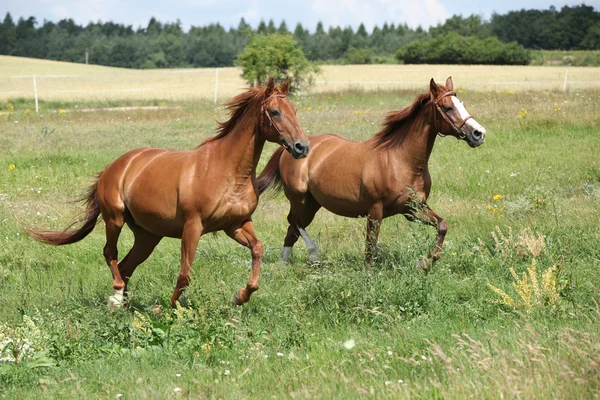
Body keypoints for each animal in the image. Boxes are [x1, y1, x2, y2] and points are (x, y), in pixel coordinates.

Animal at [28, 79, 310, 308]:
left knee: (126, 266)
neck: (227, 172)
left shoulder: (237, 224)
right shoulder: (193, 227)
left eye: (295, 111)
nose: (302, 147)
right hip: (114, 219)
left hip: (148, 236)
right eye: (275, 112)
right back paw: (117, 297)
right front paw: (167, 309)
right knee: (111, 254)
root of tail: (114, 166)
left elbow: (258, 250)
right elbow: (185, 274)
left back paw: (123, 306)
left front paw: (240, 296)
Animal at [260, 77, 486, 272]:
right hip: (299, 199)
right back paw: (312, 254)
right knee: (294, 222)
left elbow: (442, 225)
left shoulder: (413, 210)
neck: (401, 161)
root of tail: (291, 148)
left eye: (462, 103)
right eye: (448, 107)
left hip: (312, 204)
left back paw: (283, 265)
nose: (479, 133)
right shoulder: (375, 211)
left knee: (292, 229)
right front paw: (368, 276)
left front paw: (426, 263)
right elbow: (370, 247)